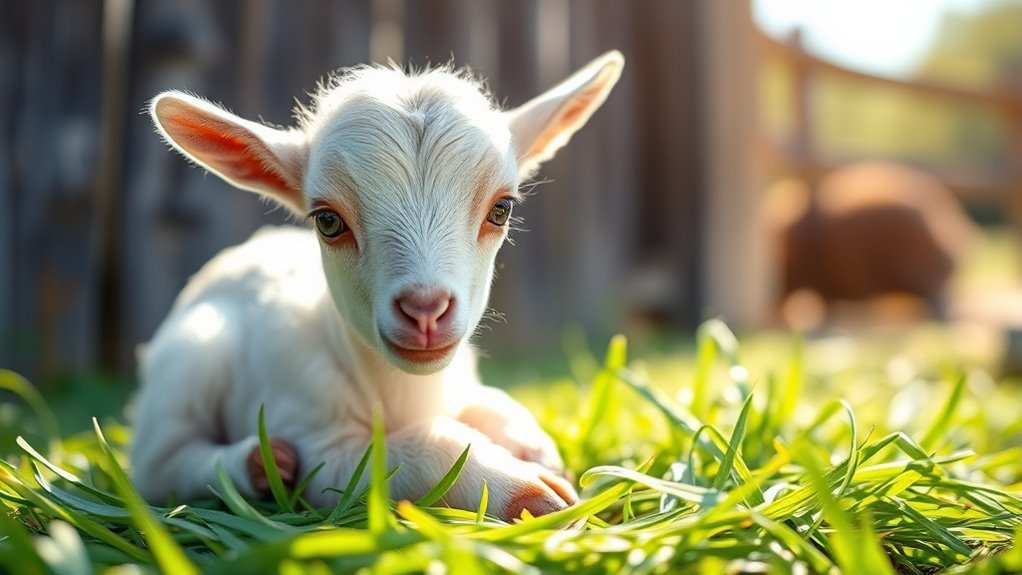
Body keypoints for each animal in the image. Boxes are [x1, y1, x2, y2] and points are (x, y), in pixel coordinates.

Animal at [131, 52, 624, 521]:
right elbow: (419, 450)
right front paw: (529, 491)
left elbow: (498, 405)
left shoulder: (462, 384)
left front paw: (537, 451)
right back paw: (258, 464)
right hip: (190, 358)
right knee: (162, 462)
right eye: (328, 221)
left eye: (501, 209)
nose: (425, 308)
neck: (408, 393)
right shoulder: (322, 449)